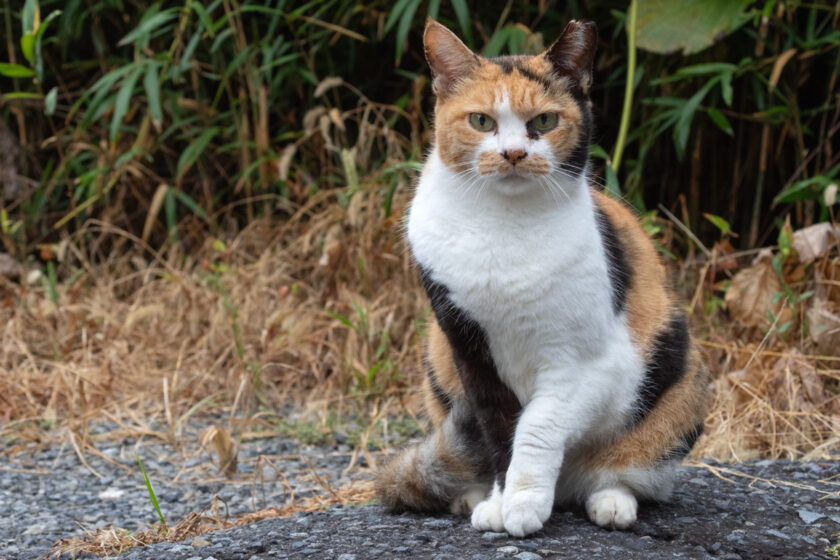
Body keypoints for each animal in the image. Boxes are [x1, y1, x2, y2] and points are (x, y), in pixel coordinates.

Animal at [376, 18, 708, 540]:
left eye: (546, 122)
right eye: (482, 121)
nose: (513, 153)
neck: (504, 228)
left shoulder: (590, 366)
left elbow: (536, 427)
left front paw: (524, 502)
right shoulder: (469, 352)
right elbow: (498, 432)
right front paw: (499, 501)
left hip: (678, 374)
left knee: (630, 472)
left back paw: (611, 502)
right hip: (436, 359)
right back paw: (470, 496)